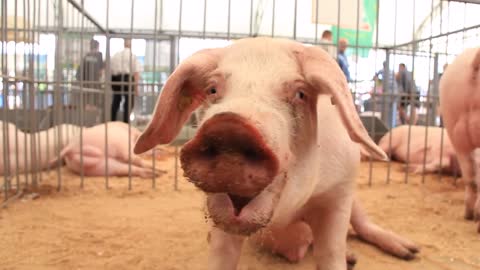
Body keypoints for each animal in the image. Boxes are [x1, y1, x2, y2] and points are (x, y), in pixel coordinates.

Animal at [133, 38, 418, 270]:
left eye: (300, 93)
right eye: (212, 89)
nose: (229, 127)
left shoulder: (340, 191)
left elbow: (331, 253)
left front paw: (344, 259)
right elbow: (221, 255)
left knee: (363, 225)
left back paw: (407, 252)